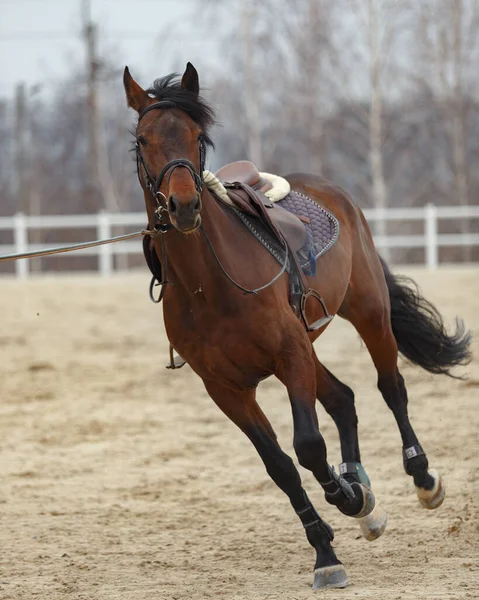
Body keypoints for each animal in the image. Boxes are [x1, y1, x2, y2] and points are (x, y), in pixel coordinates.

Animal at [123, 63, 472, 588]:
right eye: (142, 140)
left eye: (197, 137)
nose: (183, 205)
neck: (209, 286)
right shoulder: (225, 388)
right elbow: (281, 466)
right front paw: (331, 540)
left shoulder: (289, 358)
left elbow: (308, 446)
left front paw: (347, 502)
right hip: (312, 346)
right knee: (343, 398)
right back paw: (362, 489)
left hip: (368, 312)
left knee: (391, 387)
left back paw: (423, 479)